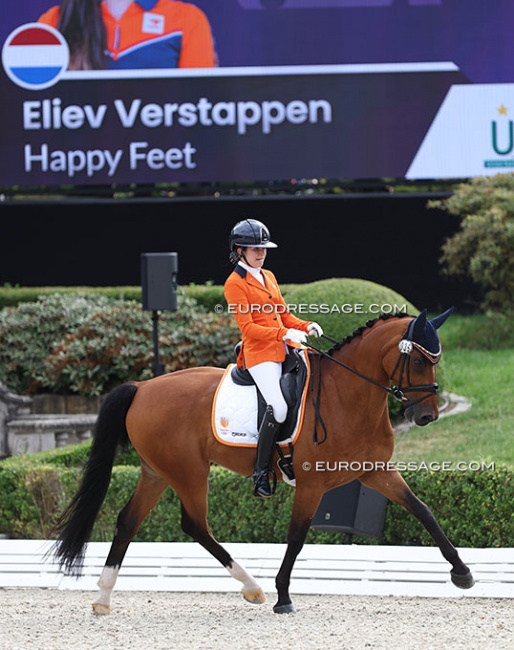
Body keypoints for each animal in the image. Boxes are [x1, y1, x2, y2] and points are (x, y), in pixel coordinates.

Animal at [50, 308, 474, 612]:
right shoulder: (312, 483)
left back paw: (103, 597)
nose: (426, 417)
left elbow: (423, 510)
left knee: (129, 520)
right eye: (418, 361)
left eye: (435, 360)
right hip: (188, 472)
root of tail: (141, 387)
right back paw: (253, 588)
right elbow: (297, 536)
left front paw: (463, 573)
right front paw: (284, 596)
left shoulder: (375, 472)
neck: (347, 395)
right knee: (194, 524)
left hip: (157, 472)